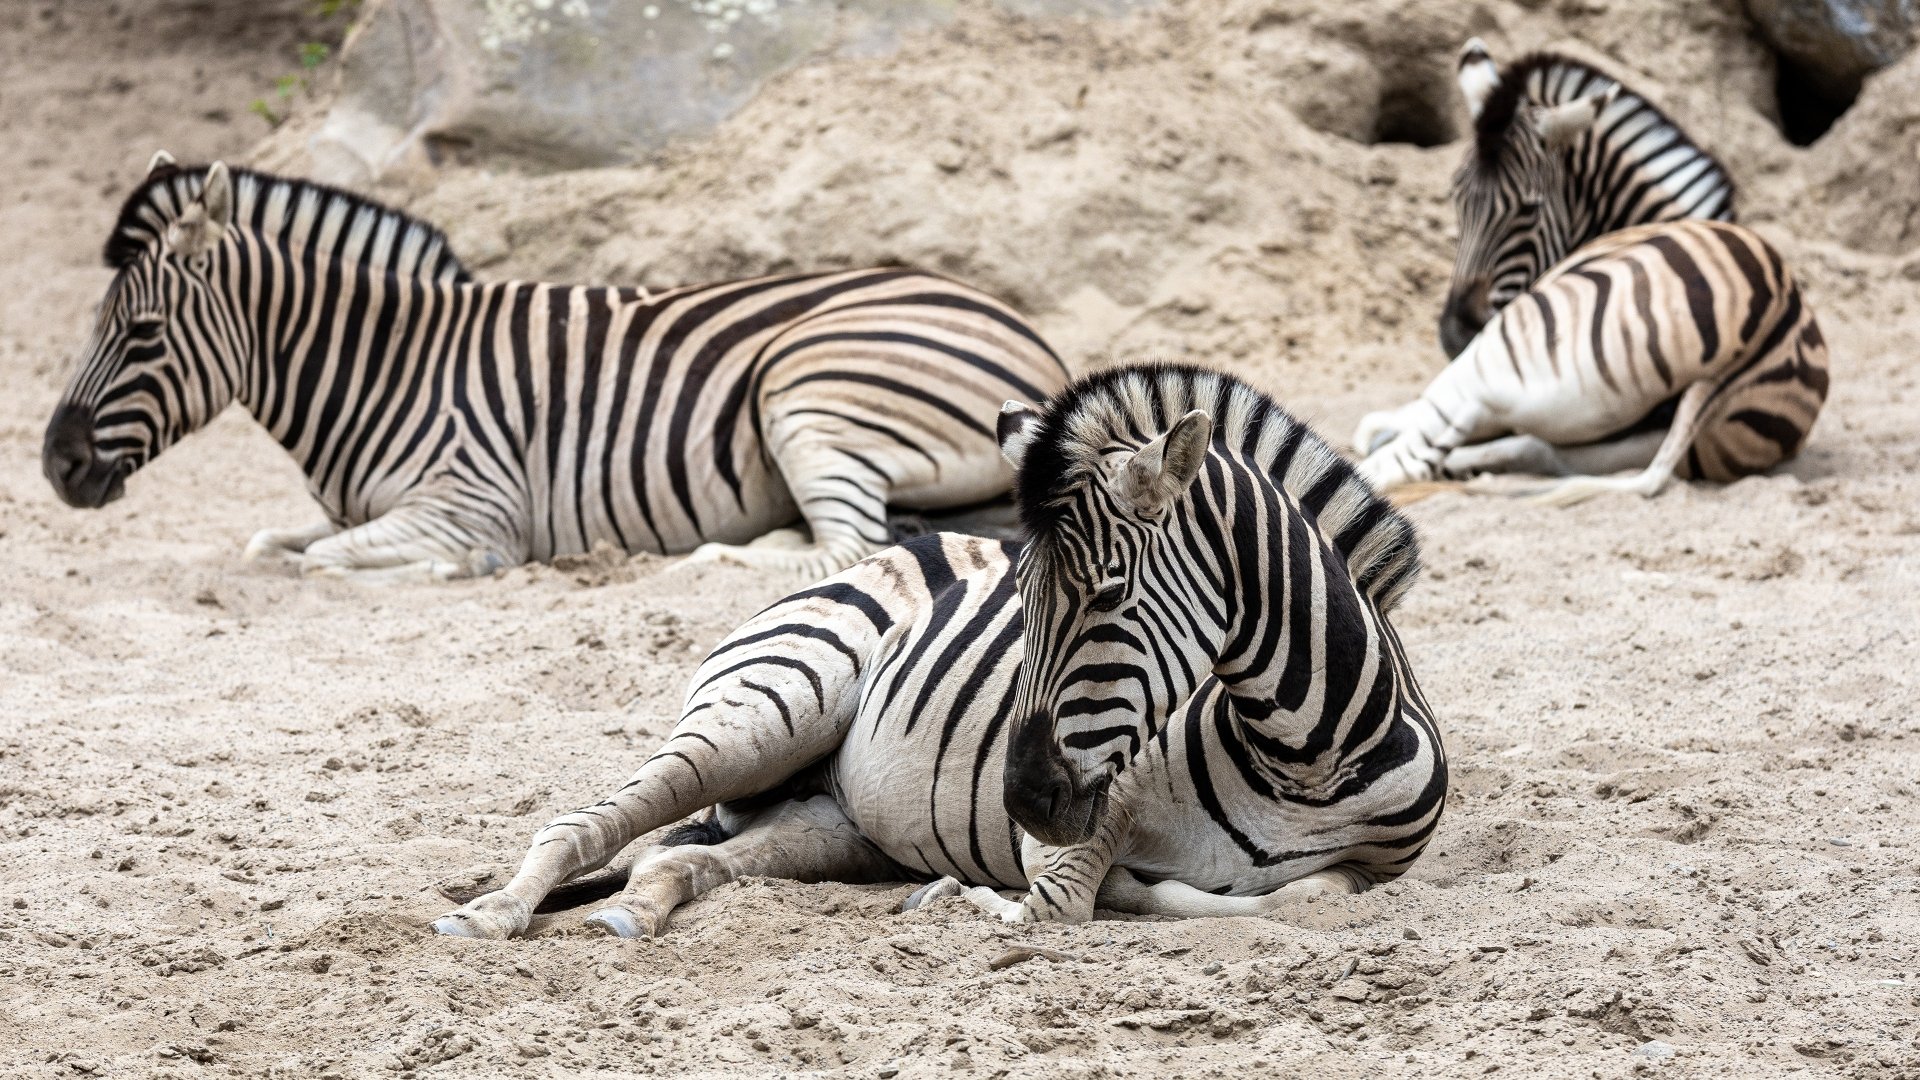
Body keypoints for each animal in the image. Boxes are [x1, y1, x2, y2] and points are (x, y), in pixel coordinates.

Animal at [42, 155, 1067, 582]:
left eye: (142, 334)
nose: (55, 466)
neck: (380, 369)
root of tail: (1027, 331)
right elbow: (273, 545)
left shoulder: (471, 498)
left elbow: (332, 559)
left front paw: (465, 569)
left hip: (807, 388)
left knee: (851, 542)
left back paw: (715, 554)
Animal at [434, 364, 1445, 939]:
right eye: (1019, 603)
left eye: (1109, 595)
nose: (1020, 799)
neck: (1301, 763)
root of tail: (895, 547)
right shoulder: (1087, 822)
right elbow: (1059, 905)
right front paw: (966, 900)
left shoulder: (1379, 871)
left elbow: (1308, 897)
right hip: (763, 712)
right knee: (581, 825)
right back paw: (490, 915)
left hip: (832, 822)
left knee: (674, 863)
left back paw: (629, 915)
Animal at [1355, 220, 1829, 505]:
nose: (1453, 330)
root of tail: (1773, 318)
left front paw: (1373, 431)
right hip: (1632, 436)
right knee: (1539, 451)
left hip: (1503, 355)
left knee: (1401, 461)